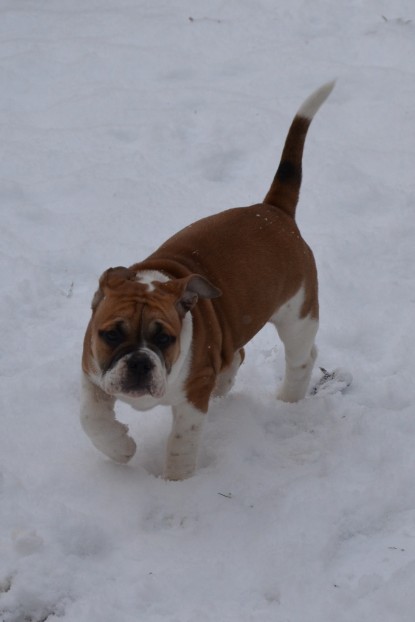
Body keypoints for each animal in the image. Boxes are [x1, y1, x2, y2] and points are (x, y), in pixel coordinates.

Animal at [82, 81, 338, 482]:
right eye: (110, 334)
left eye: (165, 339)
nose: (139, 363)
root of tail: (273, 210)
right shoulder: (91, 371)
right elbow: (91, 417)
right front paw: (120, 449)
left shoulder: (192, 396)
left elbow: (182, 441)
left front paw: (177, 483)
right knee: (238, 353)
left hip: (298, 314)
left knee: (301, 357)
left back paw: (288, 399)